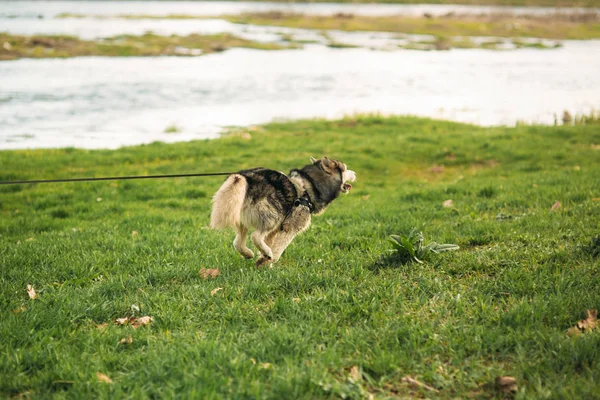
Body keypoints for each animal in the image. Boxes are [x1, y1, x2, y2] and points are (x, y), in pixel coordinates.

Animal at [211, 158, 356, 268]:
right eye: (345, 169)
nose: (355, 173)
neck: (311, 186)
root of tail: (245, 177)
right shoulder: (290, 227)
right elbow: (278, 250)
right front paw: (266, 261)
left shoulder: (276, 231)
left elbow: (270, 243)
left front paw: (263, 261)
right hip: (273, 215)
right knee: (255, 236)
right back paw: (267, 253)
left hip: (245, 220)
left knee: (238, 243)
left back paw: (249, 254)